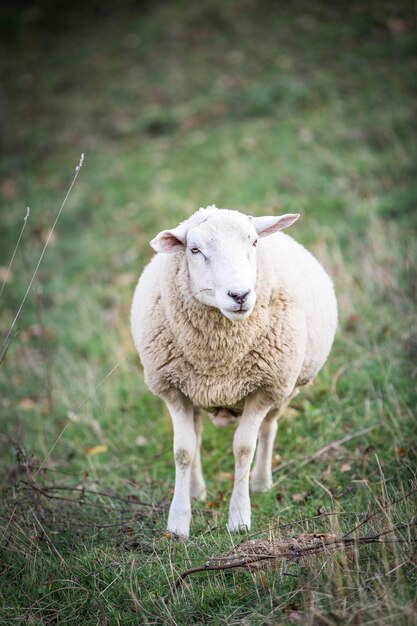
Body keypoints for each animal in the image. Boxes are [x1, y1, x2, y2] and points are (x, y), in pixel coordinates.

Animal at [132, 205, 336, 536]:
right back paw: (196, 490)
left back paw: (262, 482)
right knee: (197, 436)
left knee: (269, 429)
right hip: (195, 392)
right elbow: (183, 450)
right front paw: (178, 523)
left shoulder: (264, 389)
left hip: (284, 389)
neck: (219, 358)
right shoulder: (173, 390)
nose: (239, 295)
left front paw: (239, 518)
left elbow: (244, 448)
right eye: (194, 249)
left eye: (253, 242)